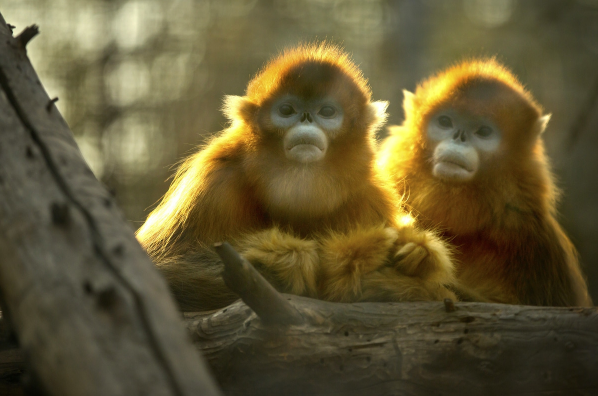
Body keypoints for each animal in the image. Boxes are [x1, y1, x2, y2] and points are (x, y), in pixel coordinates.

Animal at [135, 42, 454, 310]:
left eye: (327, 112)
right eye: (287, 110)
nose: (306, 119)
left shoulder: (368, 196)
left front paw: (412, 257)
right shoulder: (215, 180)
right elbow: (160, 270)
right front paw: (293, 261)